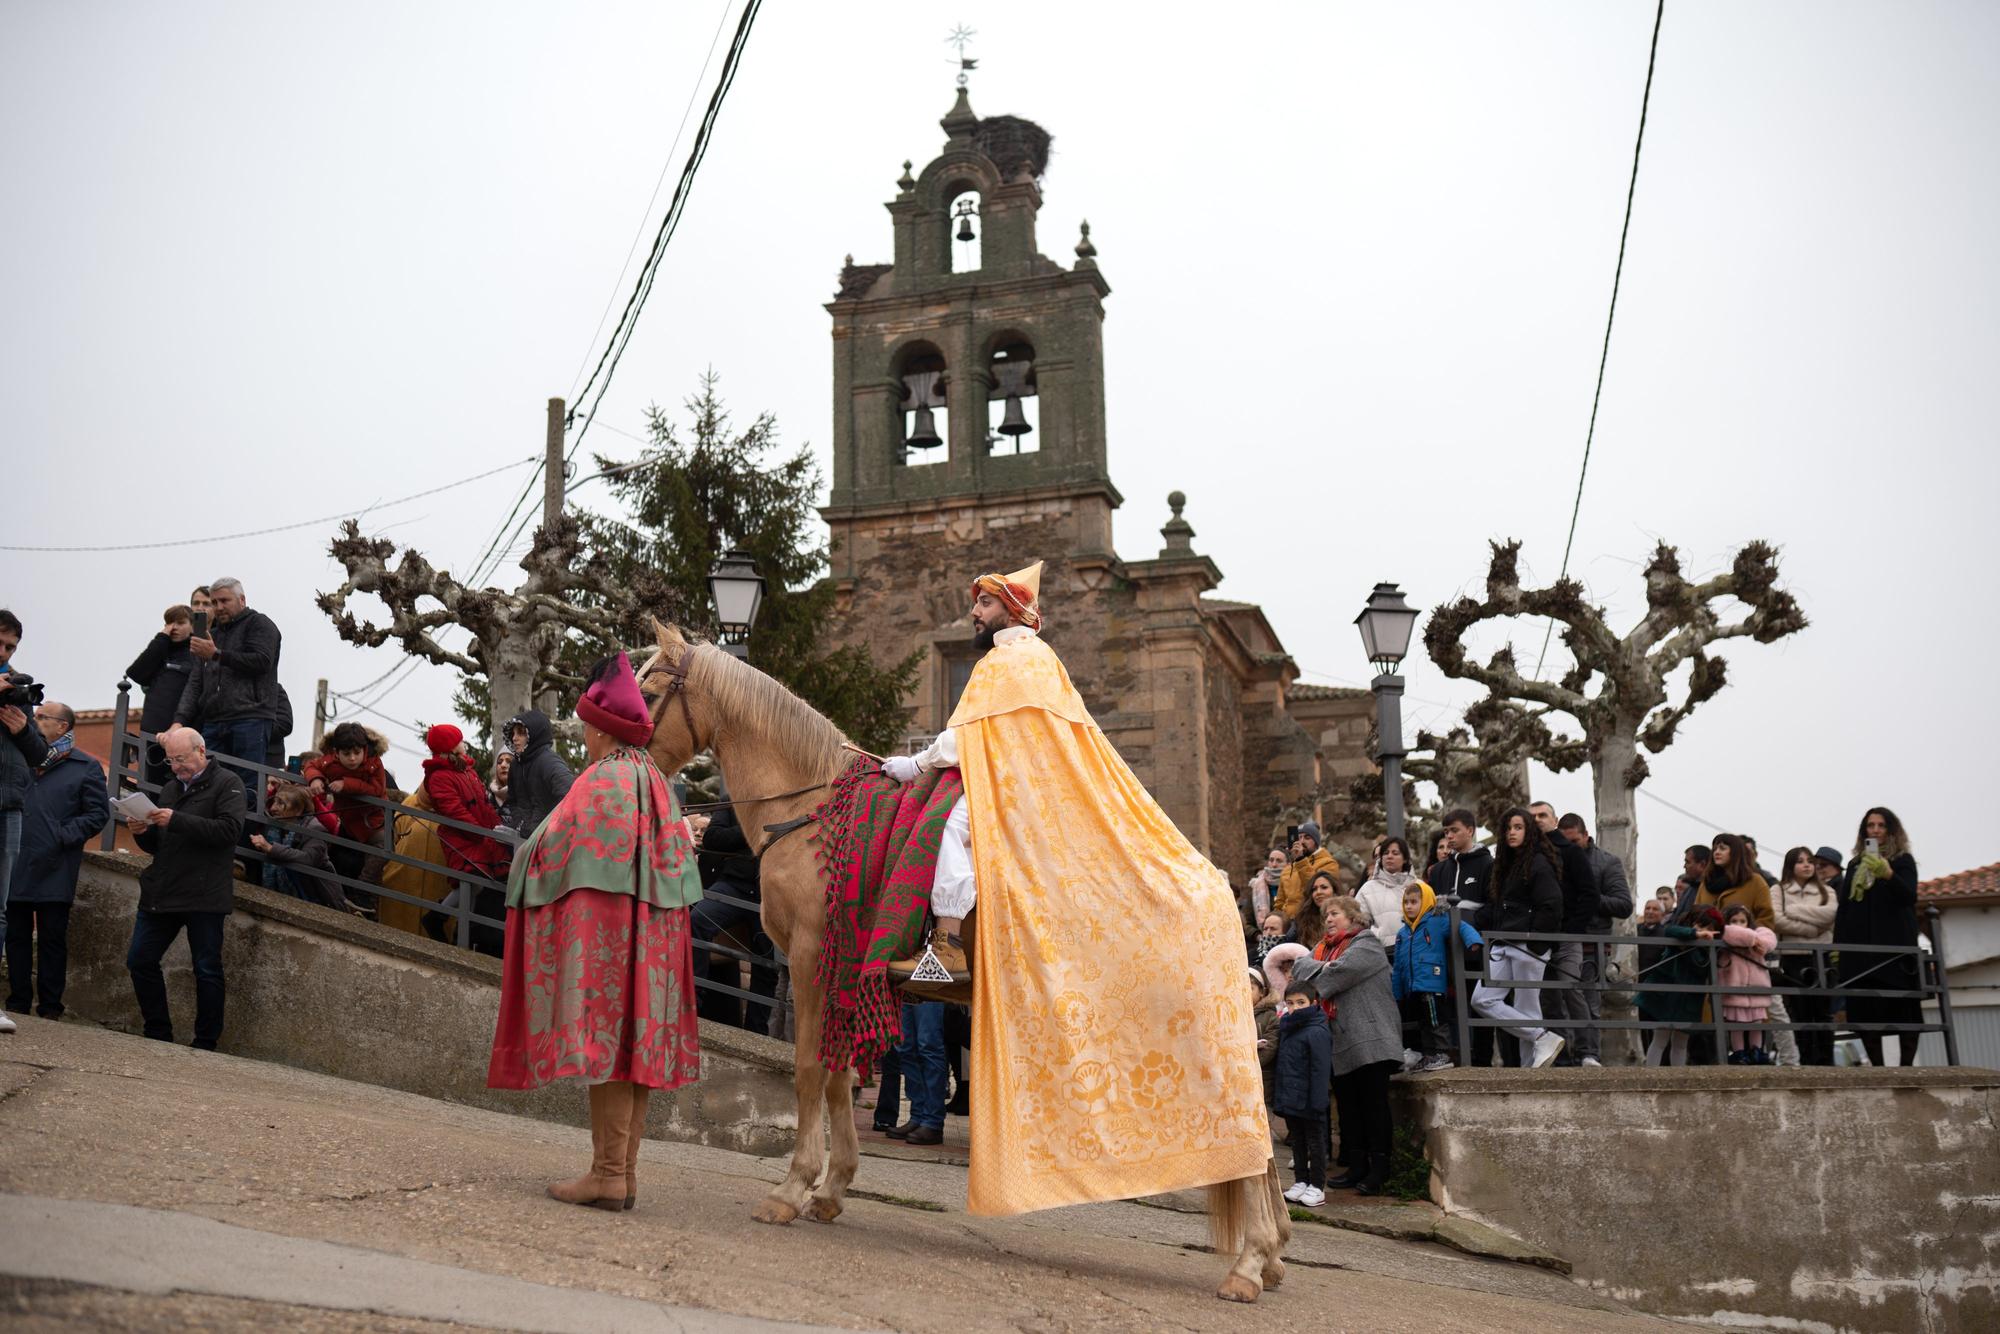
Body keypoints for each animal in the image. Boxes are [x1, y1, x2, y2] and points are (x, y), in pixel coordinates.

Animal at [644, 628, 1296, 1304]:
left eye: (649, 690)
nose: (616, 751)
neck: (814, 805)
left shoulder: (808, 959)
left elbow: (807, 1072)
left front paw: (791, 1189)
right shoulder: (844, 972)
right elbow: (838, 1078)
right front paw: (831, 1188)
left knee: (1248, 1135)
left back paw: (1249, 1264)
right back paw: (1271, 1253)